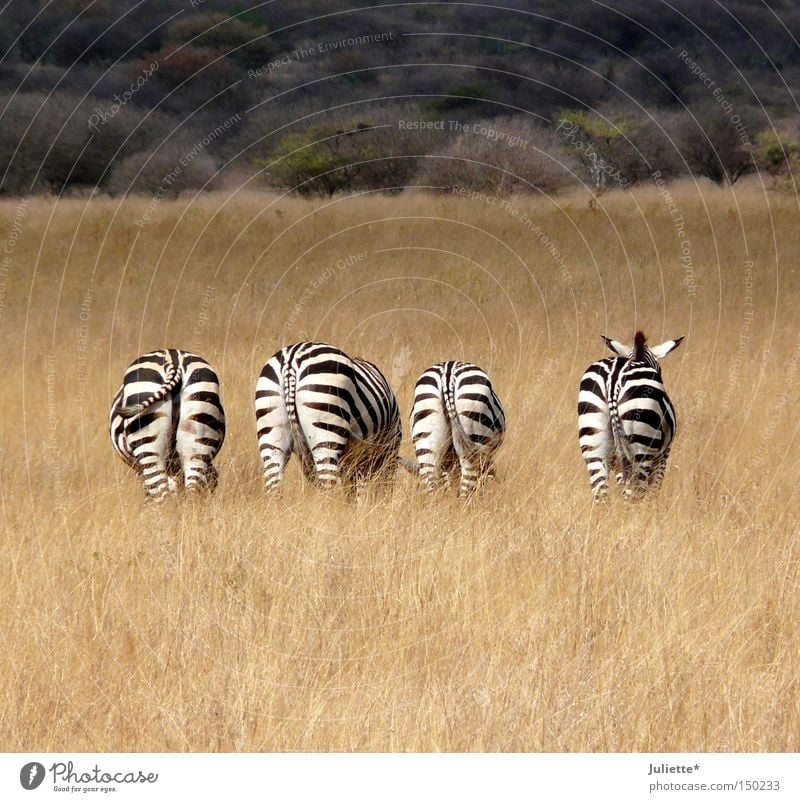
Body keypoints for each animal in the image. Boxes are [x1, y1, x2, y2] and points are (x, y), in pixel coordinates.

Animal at [108, 348, 227, 500]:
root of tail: (174, 362)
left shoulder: (141, 470)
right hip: (198, 438)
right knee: (192, 492)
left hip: (149, 449)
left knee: (163, 496)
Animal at [256, 340, 404, 490]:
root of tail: (290, 362)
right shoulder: (387, 447)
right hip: (326, 429)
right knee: (327, 485)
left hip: (271, 433)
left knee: (273, 484)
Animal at [580, 328, 684, 496]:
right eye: (659, 370)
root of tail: (613, 379)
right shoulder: (663, 457)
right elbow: (654, 491)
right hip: (641, 447)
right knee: (634, 495)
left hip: (594, 443)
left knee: (601, 493)